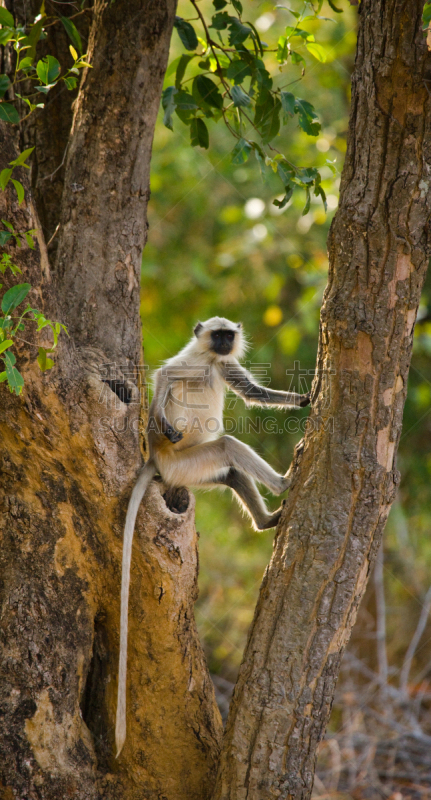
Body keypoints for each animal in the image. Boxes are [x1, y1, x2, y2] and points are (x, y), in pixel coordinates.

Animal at [115, 316, 310, 752]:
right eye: (216, 335)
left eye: (228, 336)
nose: (222, 343)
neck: (211, 358)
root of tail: (157, 461)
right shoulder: (197, 361)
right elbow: (166, 375)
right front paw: (160, 417)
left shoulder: (222, 364)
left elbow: (255, 393)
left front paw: (305, 400)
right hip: (186, 461)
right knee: (229, 446)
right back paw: (285, 484)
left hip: (193, 471)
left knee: (233, 471)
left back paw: (266, 519)